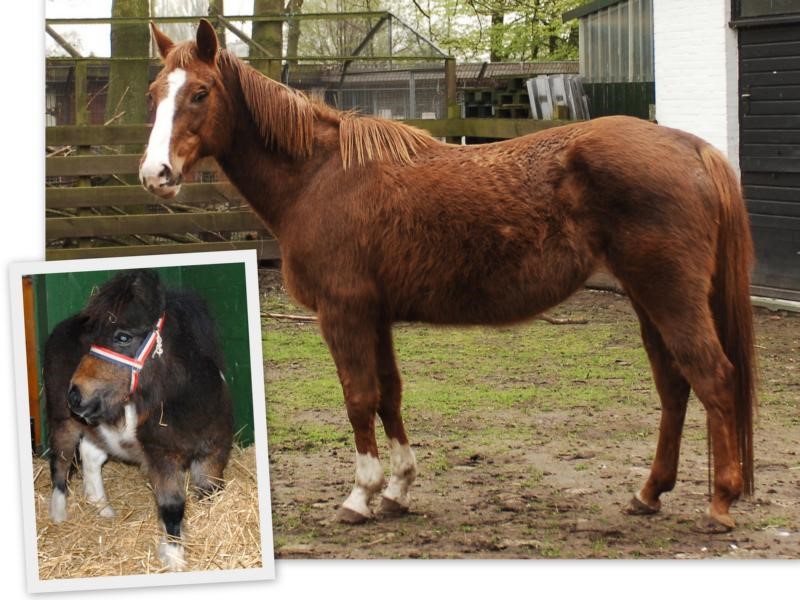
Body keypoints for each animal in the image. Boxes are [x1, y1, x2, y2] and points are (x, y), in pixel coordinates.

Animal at [44, 269, 233, 570]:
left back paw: (102, 507)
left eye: (123, 337)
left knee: (91, 456)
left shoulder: (214, 453)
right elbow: (172, 507)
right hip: (64, 422)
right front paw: (174, 558)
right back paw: (59, 515)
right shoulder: (161, 458)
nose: (75, 394)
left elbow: (210, 494)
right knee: (60, 464)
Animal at [140, 19, 756, 533]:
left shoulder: (344, 313)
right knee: (675, 387)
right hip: (647, 299)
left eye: (200, 93)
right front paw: (398, 489)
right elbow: (389, 394)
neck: (319, 175)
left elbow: (359, 398)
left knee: (713, 377)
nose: (155, 174)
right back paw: (649, 493)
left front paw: (361, 496)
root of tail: (691, 146)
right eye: (153, 95)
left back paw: (719, 503)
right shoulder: (375, 315)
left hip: (670, 296)